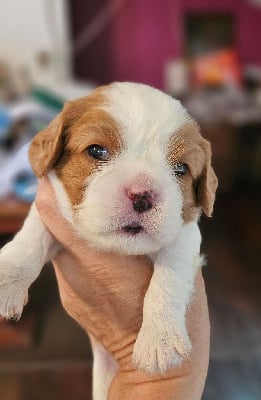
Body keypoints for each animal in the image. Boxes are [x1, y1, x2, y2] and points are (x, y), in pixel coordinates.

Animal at [0, 82, 216, 400]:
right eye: (96, 151)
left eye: (181, 169)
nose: (142, 195)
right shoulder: (53, 212)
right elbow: (30, 237)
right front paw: (7, 281)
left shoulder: (185, 233)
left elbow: (170, 276)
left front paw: (160, 339)